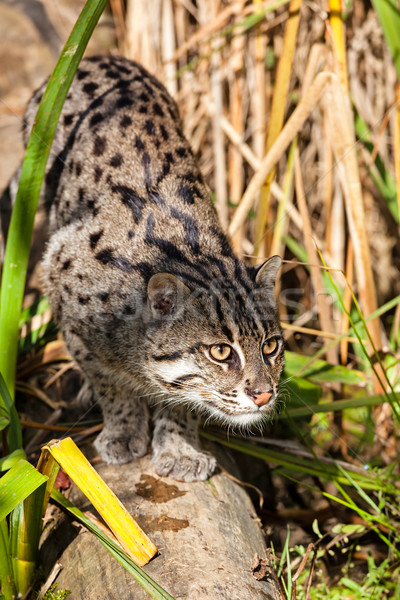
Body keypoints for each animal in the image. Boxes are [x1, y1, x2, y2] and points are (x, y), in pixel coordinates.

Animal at [19, 55, 284, 478]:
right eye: (220, 352)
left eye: (271, 346)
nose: (263, 394)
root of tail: (100, 57)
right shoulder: (61, 278)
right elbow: (110, 382)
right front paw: (124, 430)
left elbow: (180, 397)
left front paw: (179, 448)